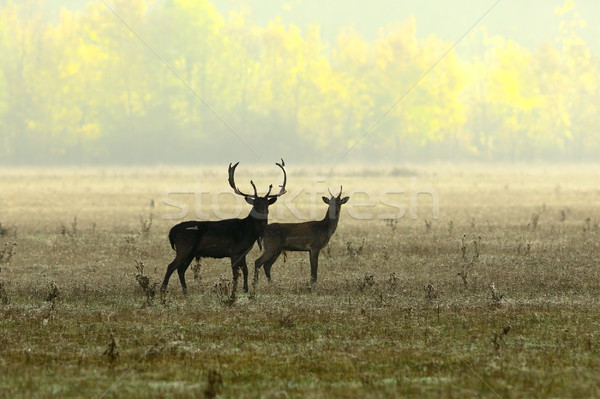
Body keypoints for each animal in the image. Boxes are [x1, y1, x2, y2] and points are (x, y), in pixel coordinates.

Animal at [161, 161, 288, 296]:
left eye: (267, 204)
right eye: (256, 204)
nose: (263, 213)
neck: (248, 232)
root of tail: (171, 232)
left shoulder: (243, 252)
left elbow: (245, 270)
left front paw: (246, 290)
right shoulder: (234, 251)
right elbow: (235, 273)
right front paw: (234, 292)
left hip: (191, 252)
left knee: (180, 269)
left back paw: (185, 292)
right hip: (184, 247)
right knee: (171, 266)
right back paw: (163, 290)